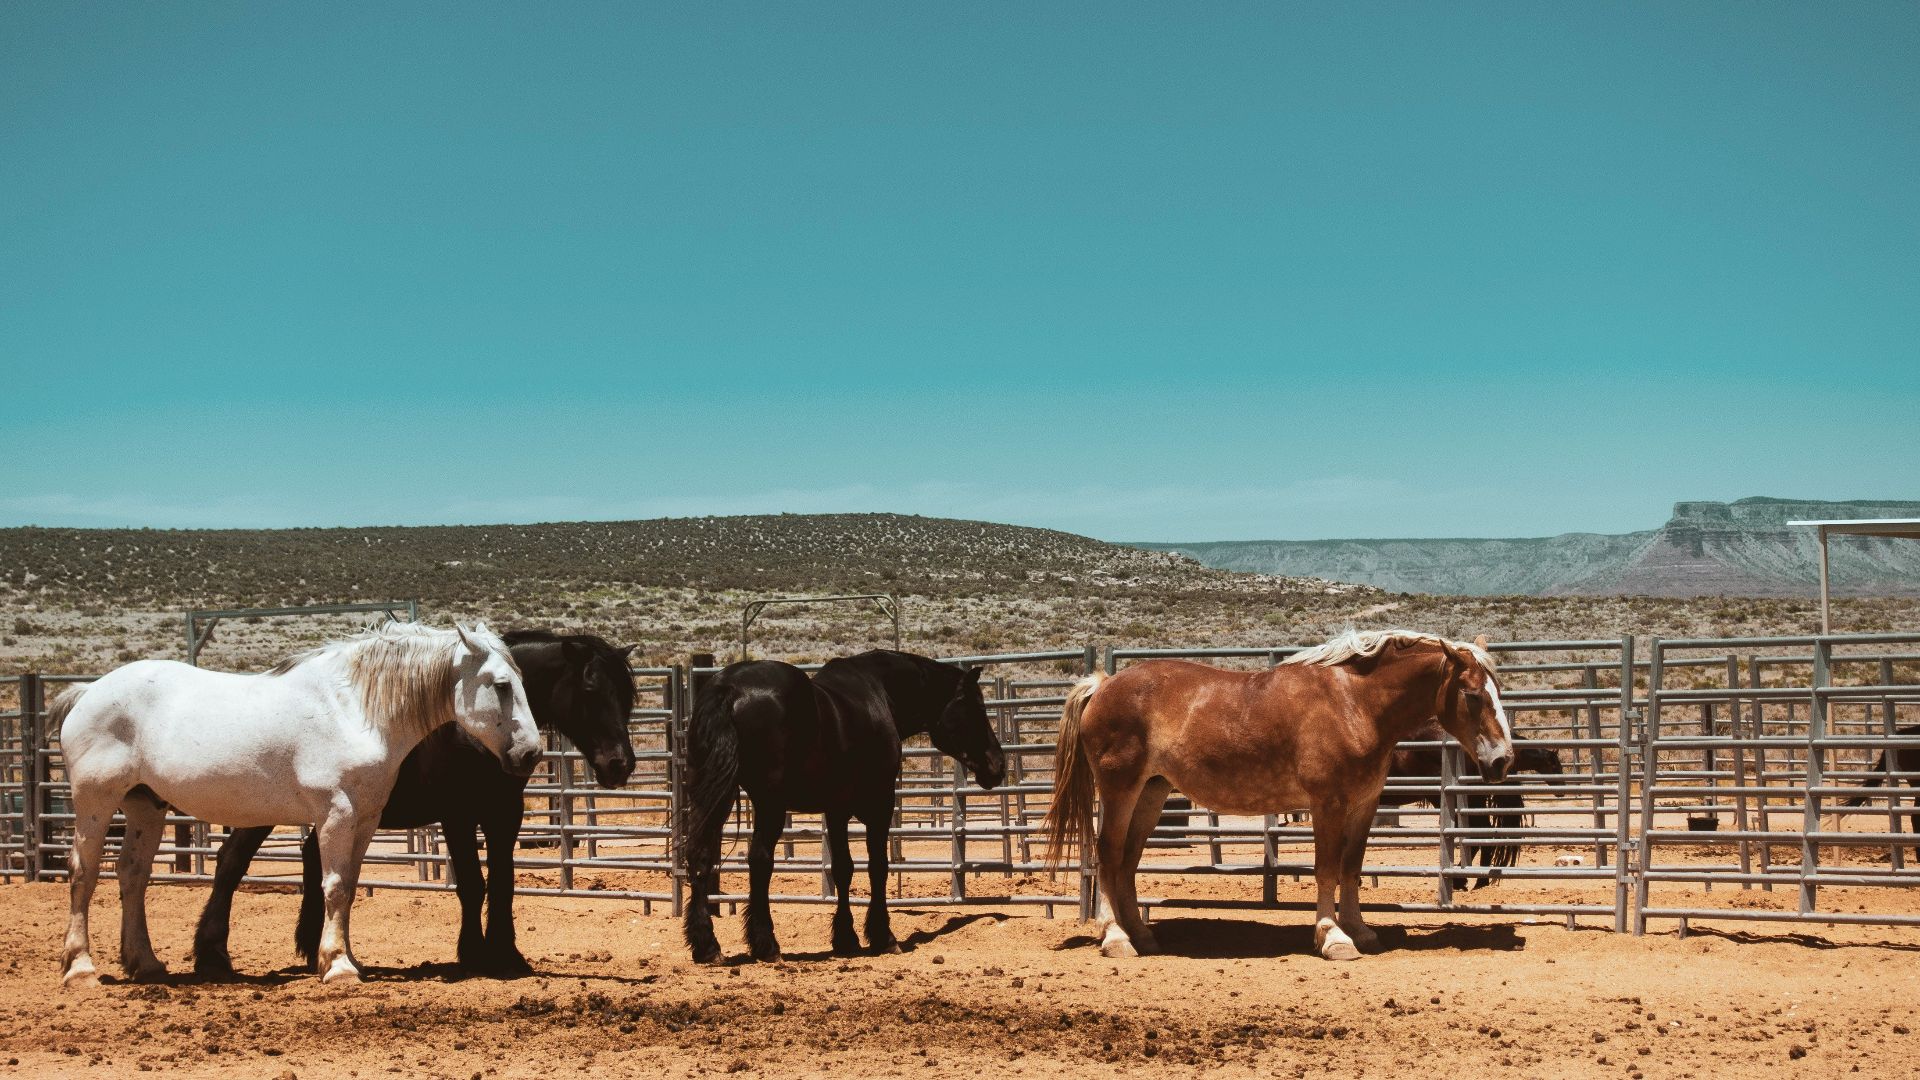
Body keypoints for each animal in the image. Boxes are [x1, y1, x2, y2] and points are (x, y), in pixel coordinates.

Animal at [50, 622, 541, 988]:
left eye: (524, 680)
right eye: (501, 684)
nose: (530, 754)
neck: (353, 709)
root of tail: (86, 693)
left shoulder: (365, 820)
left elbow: (347, 888)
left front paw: (344, 959)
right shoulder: (337, 814)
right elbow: (334, 886)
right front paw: (338, 966)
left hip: (146, 806)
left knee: (133, 875)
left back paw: (146, 963)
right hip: (95, 802)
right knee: (83, 873)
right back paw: (81, 968)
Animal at [190, 629, 638, 977]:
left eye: (627, 695)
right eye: (590, 689)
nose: (620, 764)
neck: (470, 733)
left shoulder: (503, 815)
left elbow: (504, 882)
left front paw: (508, 954)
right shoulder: (459, 816)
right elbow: (473, 884)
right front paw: (473, 954)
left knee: (309, 858)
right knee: (231, 861)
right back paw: (213, 956)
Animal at [682, 650, 1007, 963]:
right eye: (977, 707)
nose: (998, 765)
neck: (879, 692)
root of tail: (728, 689)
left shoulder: (836, 810)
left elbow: (843, 868)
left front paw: (845, 938)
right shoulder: (880, 806)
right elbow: (878, 867)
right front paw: (883, 937)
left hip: (714, 797)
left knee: (701, 856)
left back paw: (707, 946)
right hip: (768, 804)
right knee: (759, 861)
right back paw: (766, 945)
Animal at [1043, 629, 1515, 961]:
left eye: (1498, 692)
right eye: (1472, 694)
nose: (1502, 761)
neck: (1353, 703)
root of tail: (1103, 684)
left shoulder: (1364, 804)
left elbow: (1351, 869)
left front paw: (1360, 930)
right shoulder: (1328, 803)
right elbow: (1326, 869)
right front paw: (1333, 937)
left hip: (1151, 793)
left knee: (1126, 860)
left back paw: (1141, 934)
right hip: (1119, 789)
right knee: (1107, 855)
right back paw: (1115, 937)